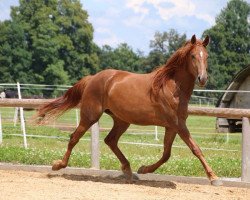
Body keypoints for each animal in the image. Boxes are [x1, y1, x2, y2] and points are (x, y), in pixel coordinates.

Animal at [36, 34, 222, 186]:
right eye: (193, 56)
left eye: (206, 56)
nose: (203, 78)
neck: (172, 87)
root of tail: (93, 78)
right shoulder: (178, 124)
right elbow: (195, 148)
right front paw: (214, 178)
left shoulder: (172, 126)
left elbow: (166, 154)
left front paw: (144, 169)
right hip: (90, 115)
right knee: (74, 138)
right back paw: (58, 165)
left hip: (121, 120)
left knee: (110, 140)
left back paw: (128, 171)